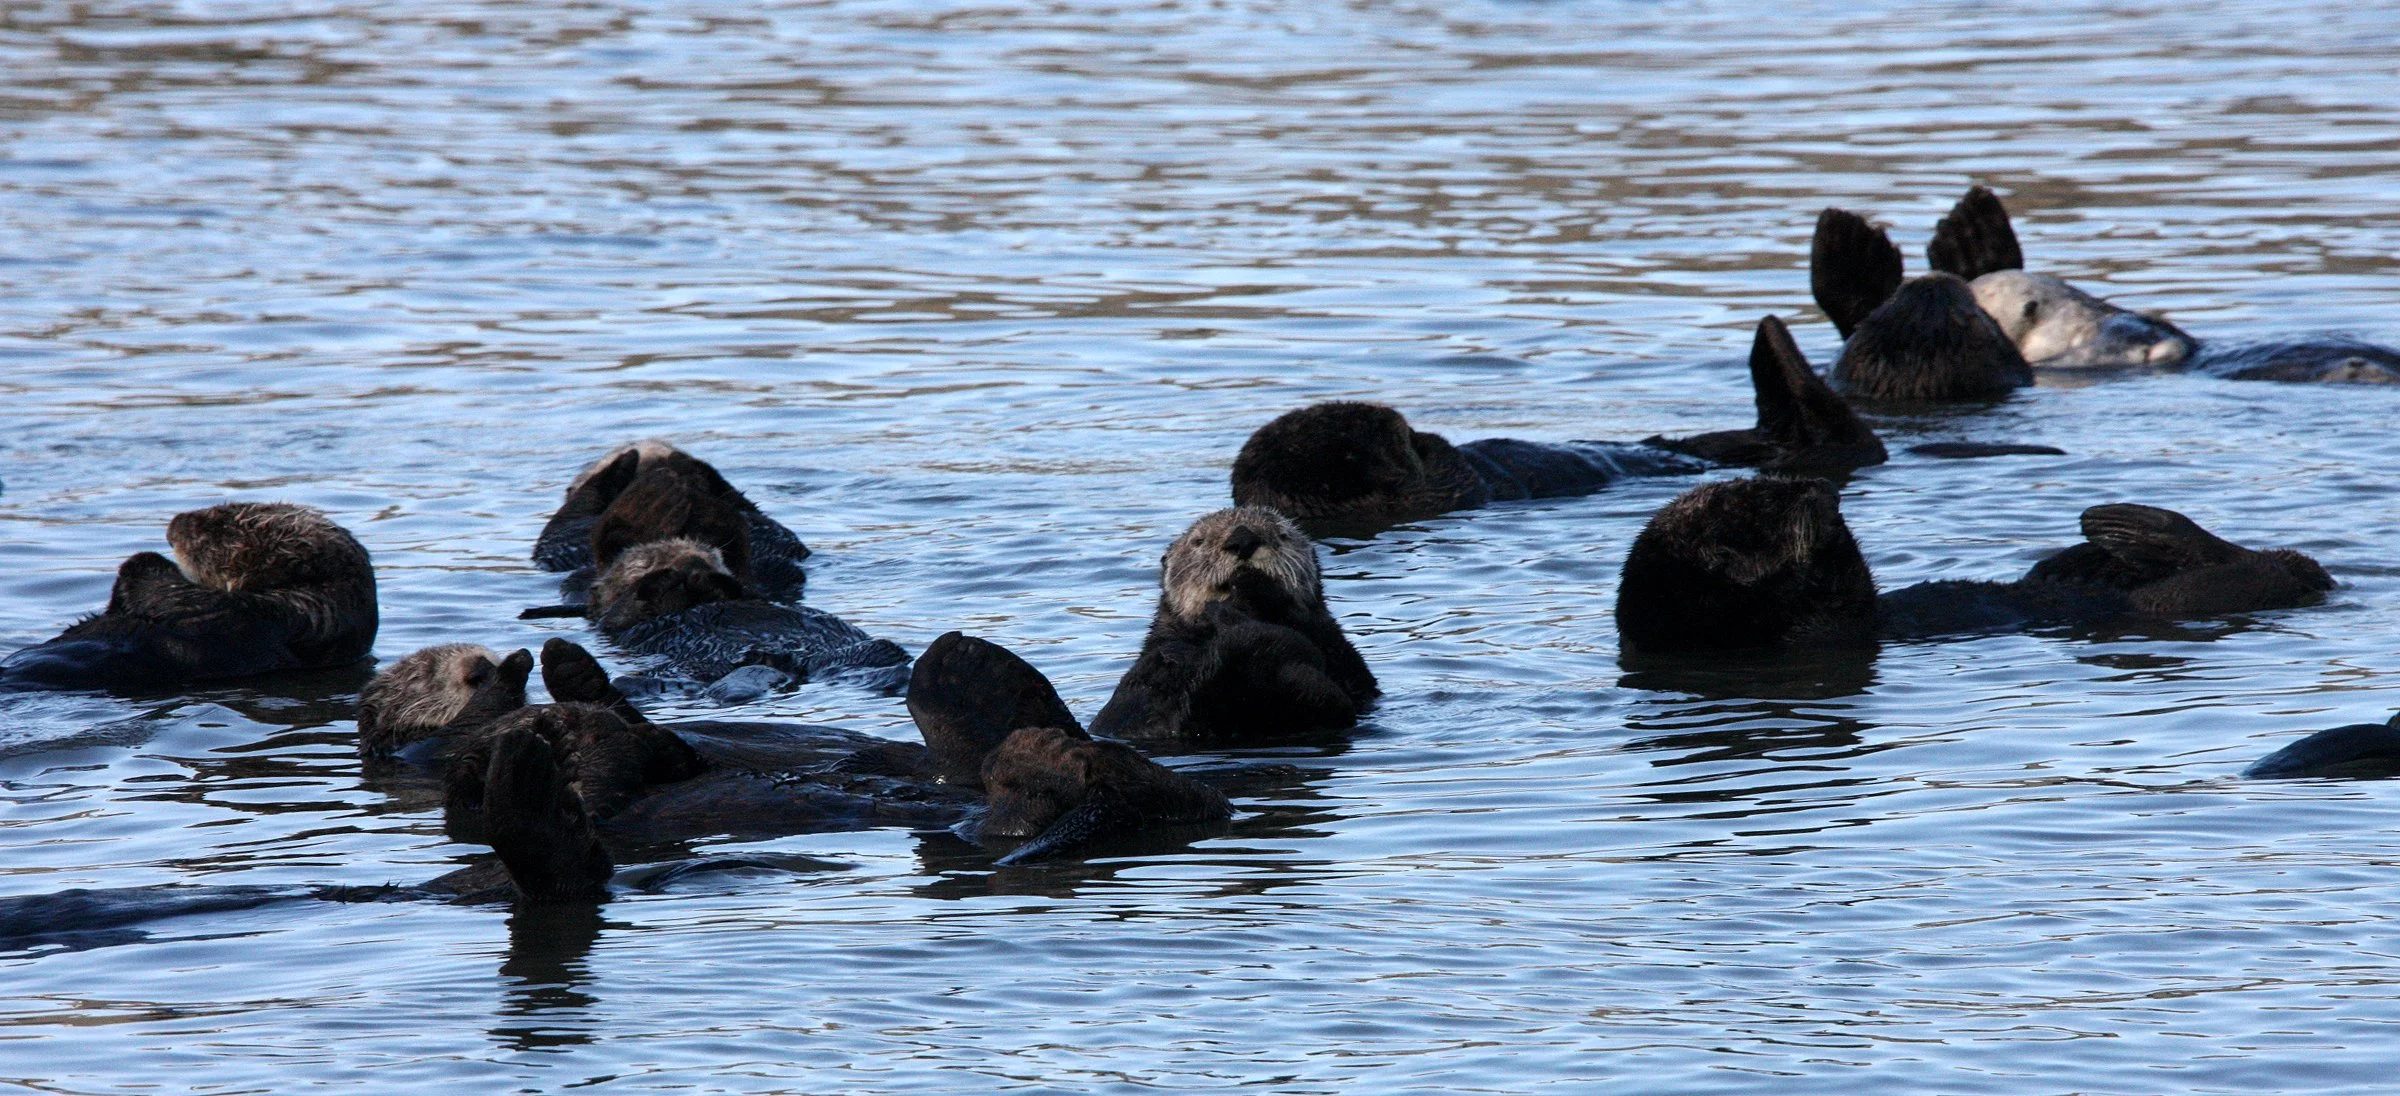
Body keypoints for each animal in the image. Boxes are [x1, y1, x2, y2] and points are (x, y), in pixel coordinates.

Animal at [1088, 507, 1378, 744]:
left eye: (1283, 535)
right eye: (1198, 541)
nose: (1242, 539)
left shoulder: (1344, 660)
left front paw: (1254, 587)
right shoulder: (1147, 672)